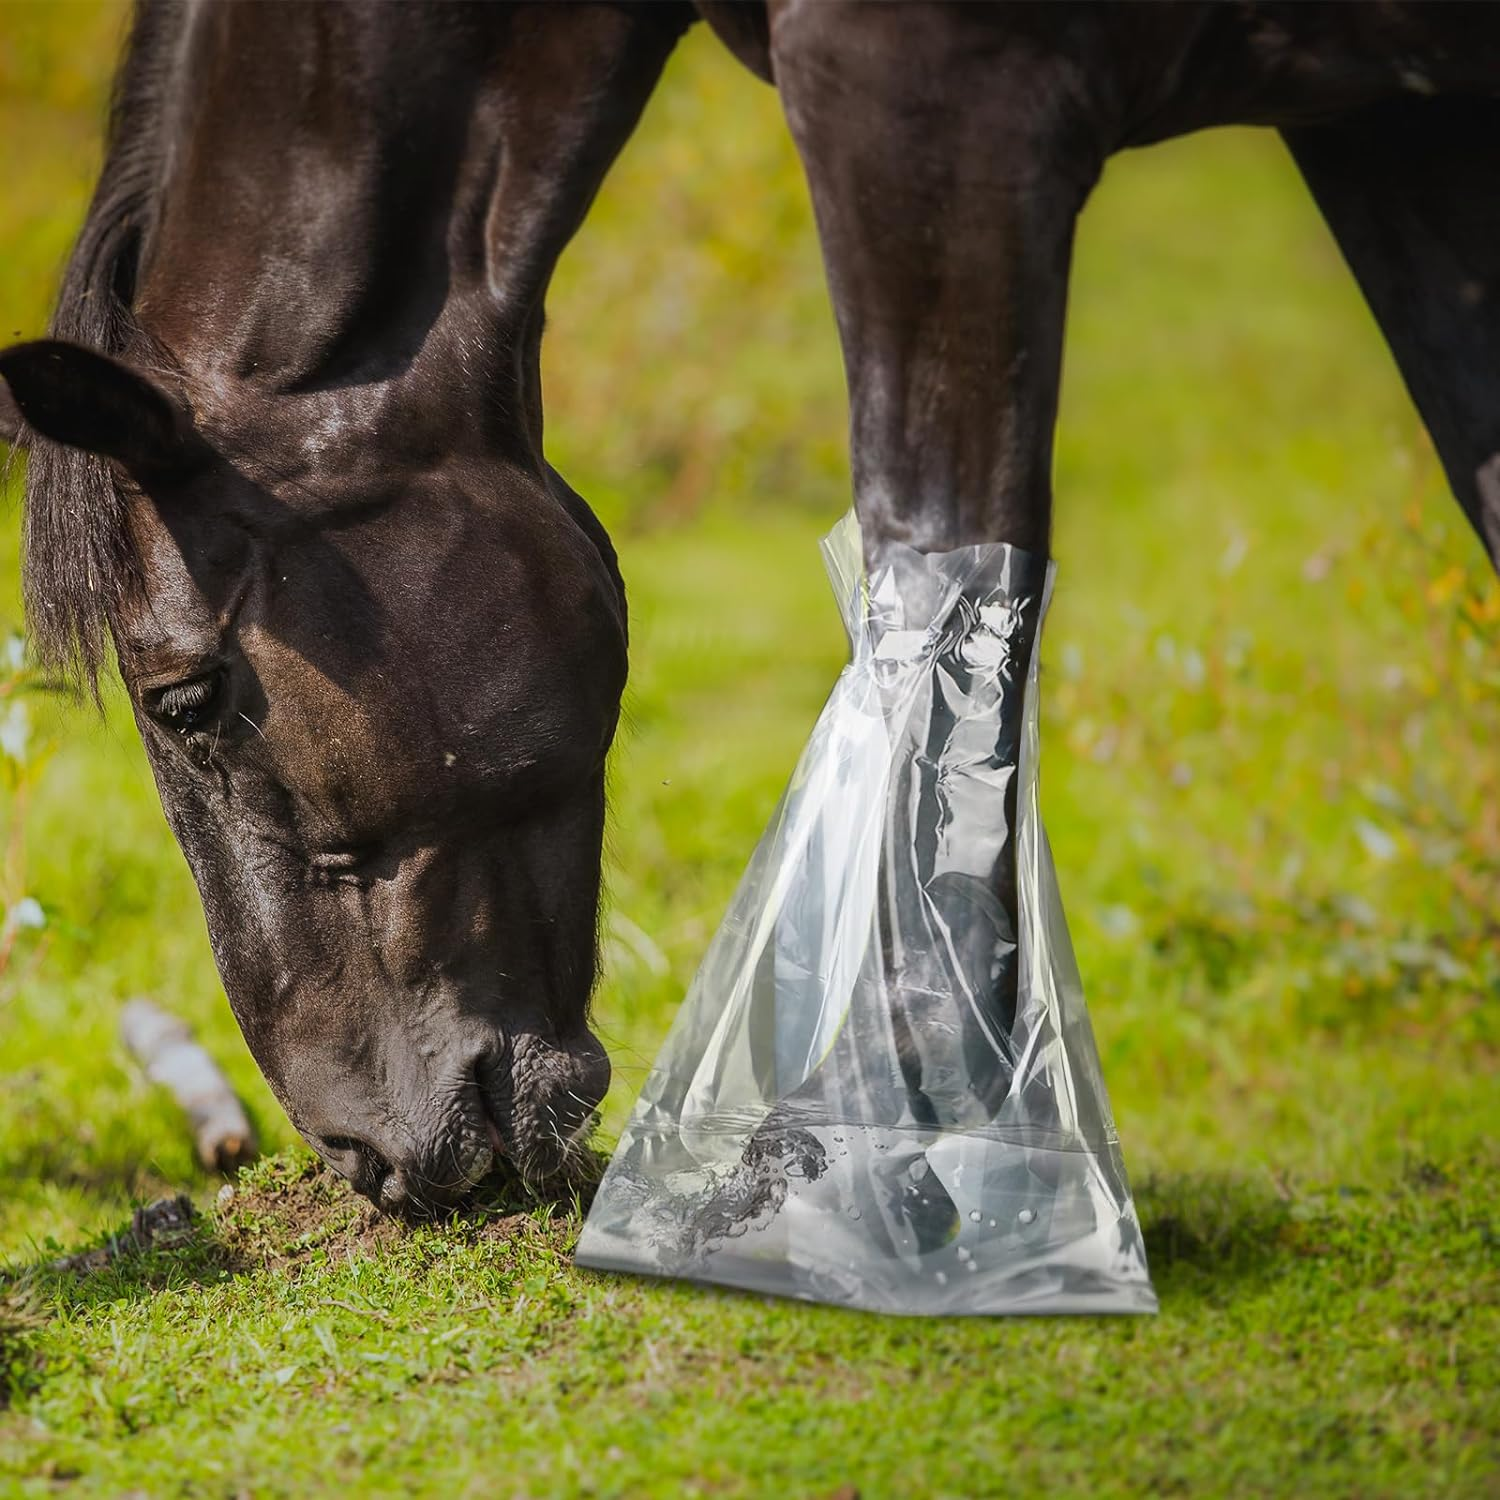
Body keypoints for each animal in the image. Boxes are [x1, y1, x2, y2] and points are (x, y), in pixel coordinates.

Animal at [1, 1, 1496, 1216]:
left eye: (184, 698)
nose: (362, 1155)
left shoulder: (929, 102)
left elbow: (937, 610)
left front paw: (899, 1142)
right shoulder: (1397, 120)